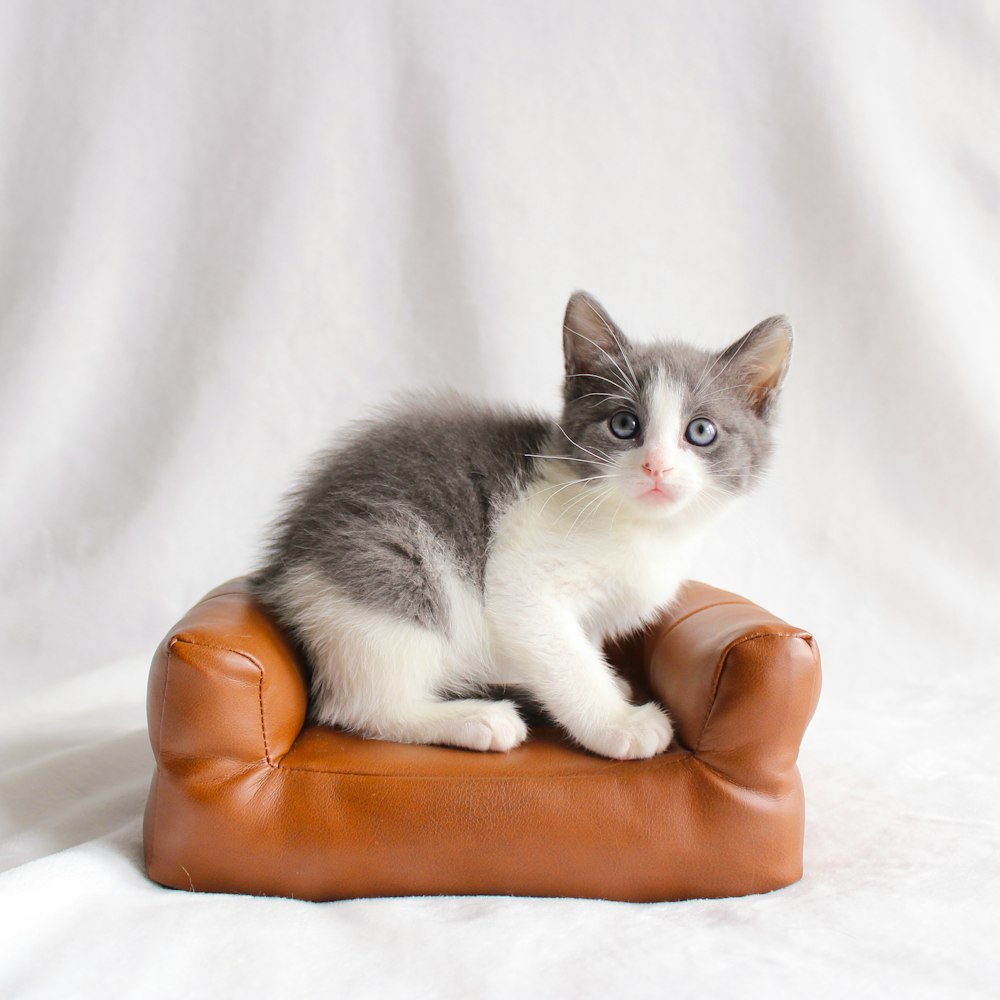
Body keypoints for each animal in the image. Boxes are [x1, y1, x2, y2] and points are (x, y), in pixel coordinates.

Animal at [254, 292, 792, 760]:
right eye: (624, 425)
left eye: (701, 431)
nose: (656, 467)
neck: (636, 527)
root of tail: (282, 571)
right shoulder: (519, 585)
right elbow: (566, 656)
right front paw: (617, 723)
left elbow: (581, 645)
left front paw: (610, 688)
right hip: (387, 567)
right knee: (358, 704)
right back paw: (475, 719)